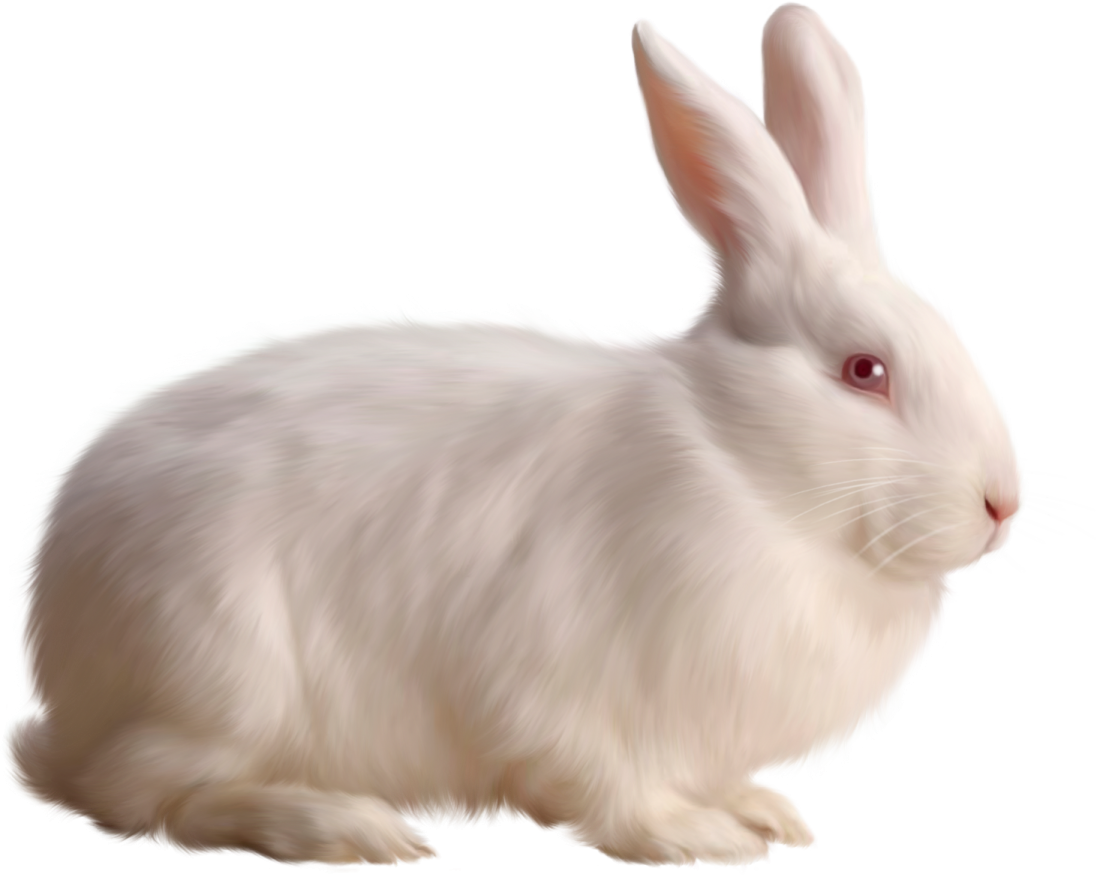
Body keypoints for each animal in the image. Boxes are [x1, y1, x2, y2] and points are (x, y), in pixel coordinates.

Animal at [3, 2, 1025, 871]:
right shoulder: (559, 688)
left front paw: (762, 810)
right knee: (144, 796)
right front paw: (699, 838)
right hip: (222, 671)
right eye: (864, 371)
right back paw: (345, 827)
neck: (742, 468)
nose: (999, 503)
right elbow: (603, 791)